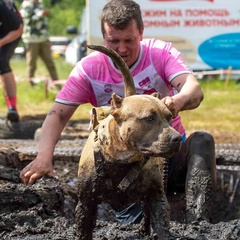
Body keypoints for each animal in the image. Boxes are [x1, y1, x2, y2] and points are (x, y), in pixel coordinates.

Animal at [75, 45, 182, 240]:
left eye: (170, 117)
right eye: (149, 118)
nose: (176, 138)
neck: (122, 159)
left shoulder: (157, 196)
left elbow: (161, 223)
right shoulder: (86, 202)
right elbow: (84, 229)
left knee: (146, 210)